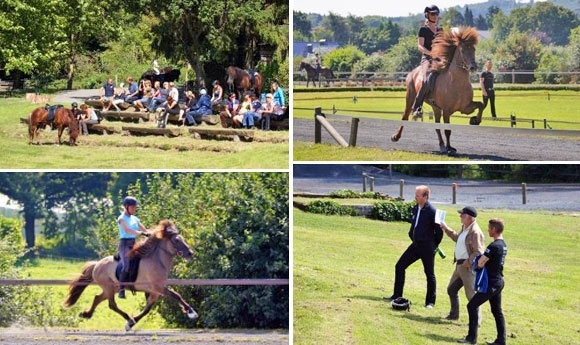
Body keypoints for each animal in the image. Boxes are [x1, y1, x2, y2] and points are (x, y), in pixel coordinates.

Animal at [63, 219, 198, 330]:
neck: (157, 261)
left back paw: (86, 314)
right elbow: (176, 295)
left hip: (113, 288)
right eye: (176, 240)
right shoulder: (158, 287)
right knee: (112, 304)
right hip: (108, 287)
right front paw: (191, 312)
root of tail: (97, 264)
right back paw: (127, 318)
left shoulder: (155, 291)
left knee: (98, 298)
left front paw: (130, 324)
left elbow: (148, 309)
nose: (190, 253)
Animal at [390, 26, 484, 155]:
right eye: (462, 50)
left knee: (437, 126)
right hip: (410, 98)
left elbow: (481, 105)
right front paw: (450, 149)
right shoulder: (447, 110)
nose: (473, 67)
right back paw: (396, 136)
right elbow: (448, 130)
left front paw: (475, 120)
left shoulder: (465, 107)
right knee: (405, 117)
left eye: (473, 49)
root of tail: (412, 72)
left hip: (436, 108)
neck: (457, 83)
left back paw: (442, 146)